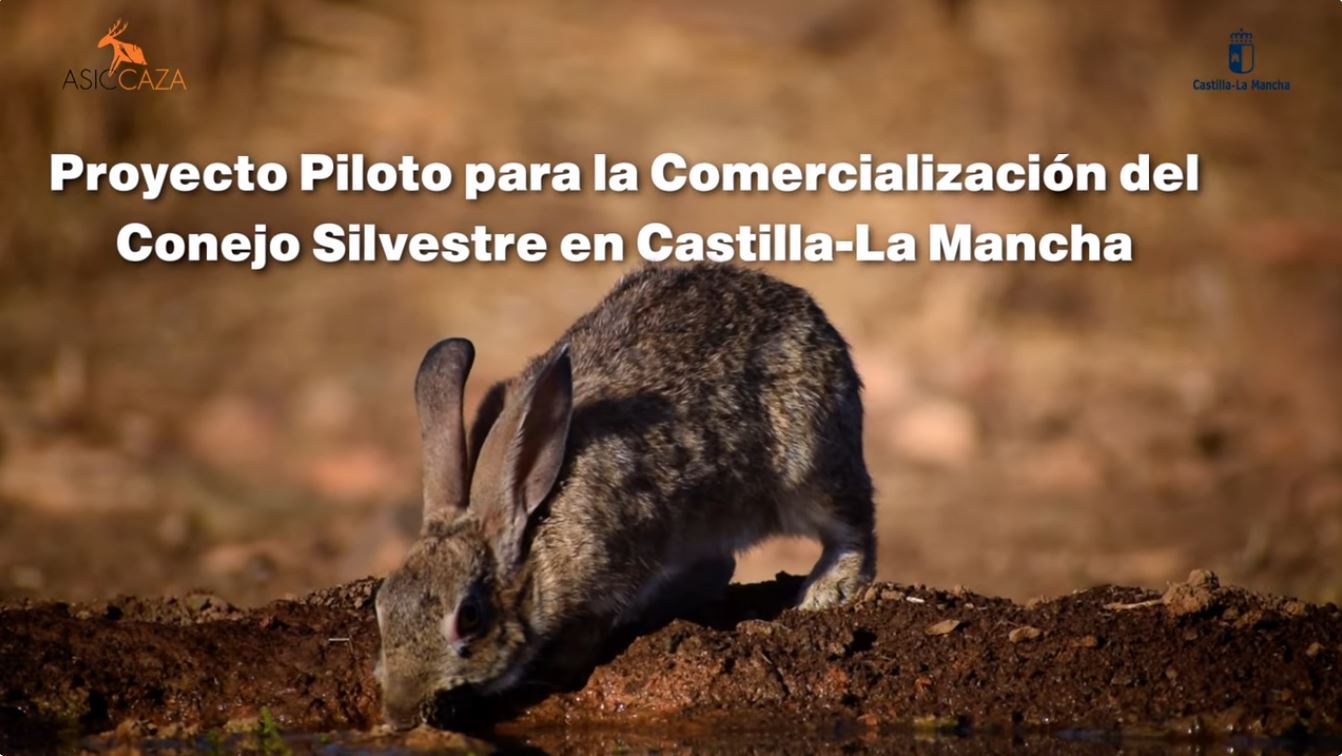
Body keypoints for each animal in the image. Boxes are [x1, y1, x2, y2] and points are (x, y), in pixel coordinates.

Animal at [375, 264, 875, 729]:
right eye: (382, 603)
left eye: (470, 616)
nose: (398, 712)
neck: (533, 540)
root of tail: (812, 318)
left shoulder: (614, 573)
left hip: (809, 466)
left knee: (853, 524)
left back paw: (825, 591)